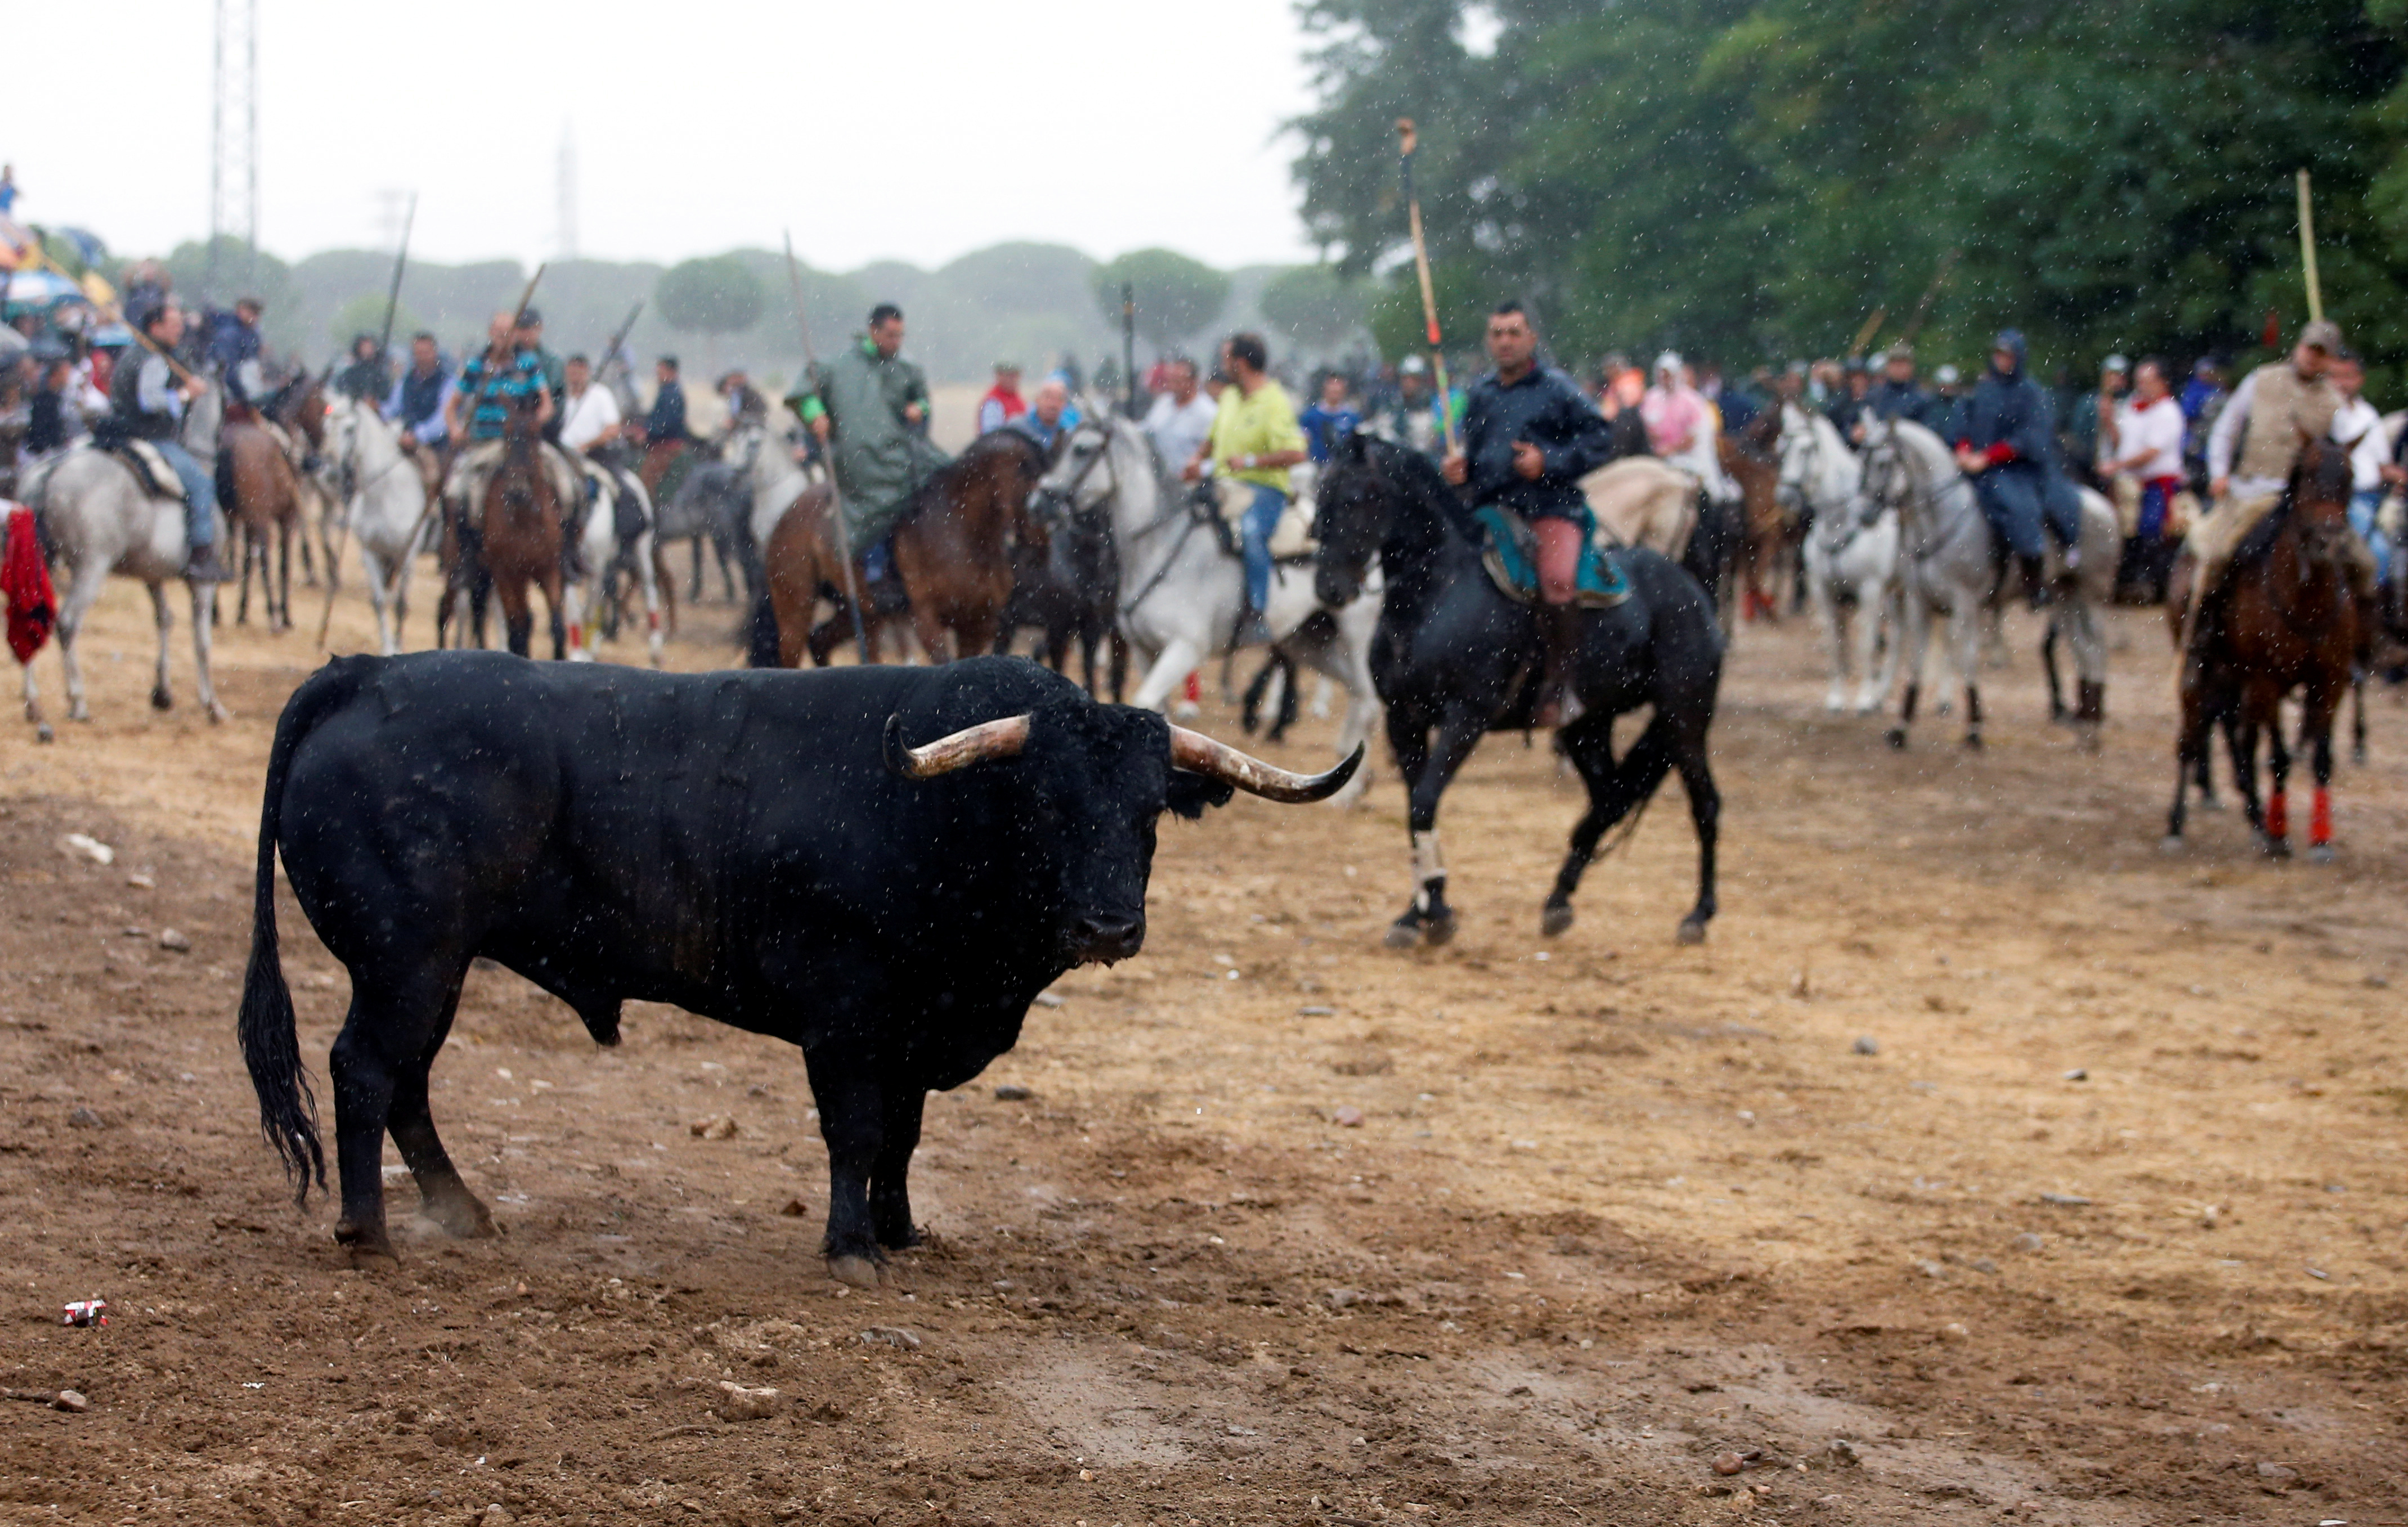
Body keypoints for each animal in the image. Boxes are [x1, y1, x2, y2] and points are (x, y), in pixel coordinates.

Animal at [238, 651, 1360, 1284]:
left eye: (1148, 812)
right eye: (1045, 801)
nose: (1109, 922)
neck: (934, 811)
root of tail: (365, 672)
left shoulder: (915, 1026)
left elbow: (903, 1136)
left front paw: (901, 1232)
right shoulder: (847, 1020)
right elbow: (856, 1132)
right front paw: (851, 1247)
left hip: (435, 964)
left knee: (408, 1080)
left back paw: (459, 1211)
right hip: (408, 958)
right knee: (365, 1070)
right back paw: (370, 1232)